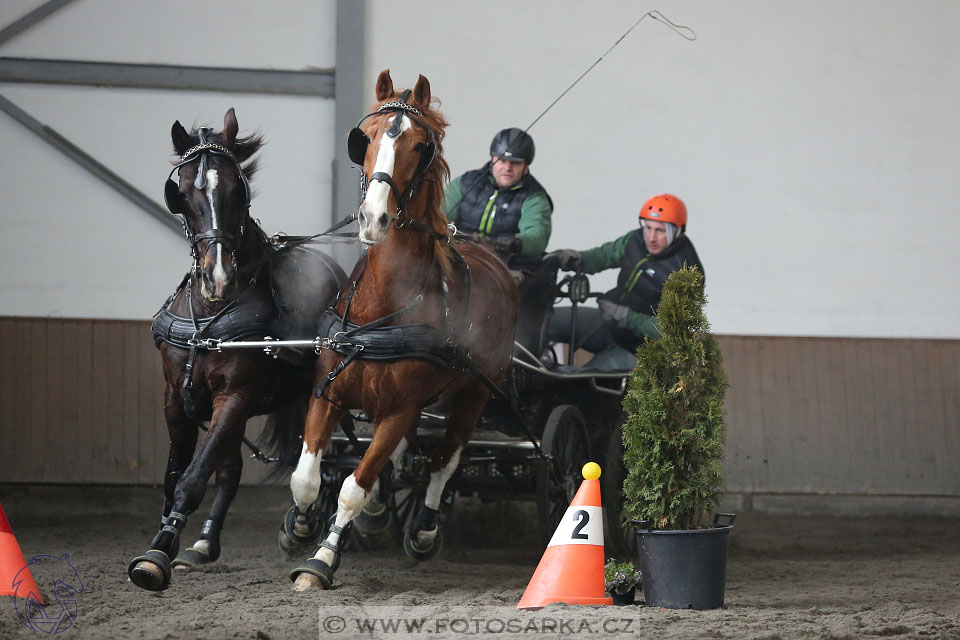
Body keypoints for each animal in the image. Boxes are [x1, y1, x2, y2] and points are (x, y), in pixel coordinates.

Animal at [126, 109, 344, 592]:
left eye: (236, 189)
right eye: (182, 191)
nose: (219, 276)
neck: (211, 317)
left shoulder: (236, 395)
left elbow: (193, 478)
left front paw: (157, 554)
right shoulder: (179, 397)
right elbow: (178, 476)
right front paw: (168, 540)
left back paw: (313, 522)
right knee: (233, 469)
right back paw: (206, 544)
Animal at [278, 70, 516, 592]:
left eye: (420, 145)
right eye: (364, 138)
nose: (373, 218)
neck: (382, 309)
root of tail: (491, 257)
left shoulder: (400, 409)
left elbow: (353, 485)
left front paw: (321, 561)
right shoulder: (327, 392)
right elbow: (306, 477)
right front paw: (299, 526)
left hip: (474, 393)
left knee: (445, 459)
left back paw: (423, 528)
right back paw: (379, 512)